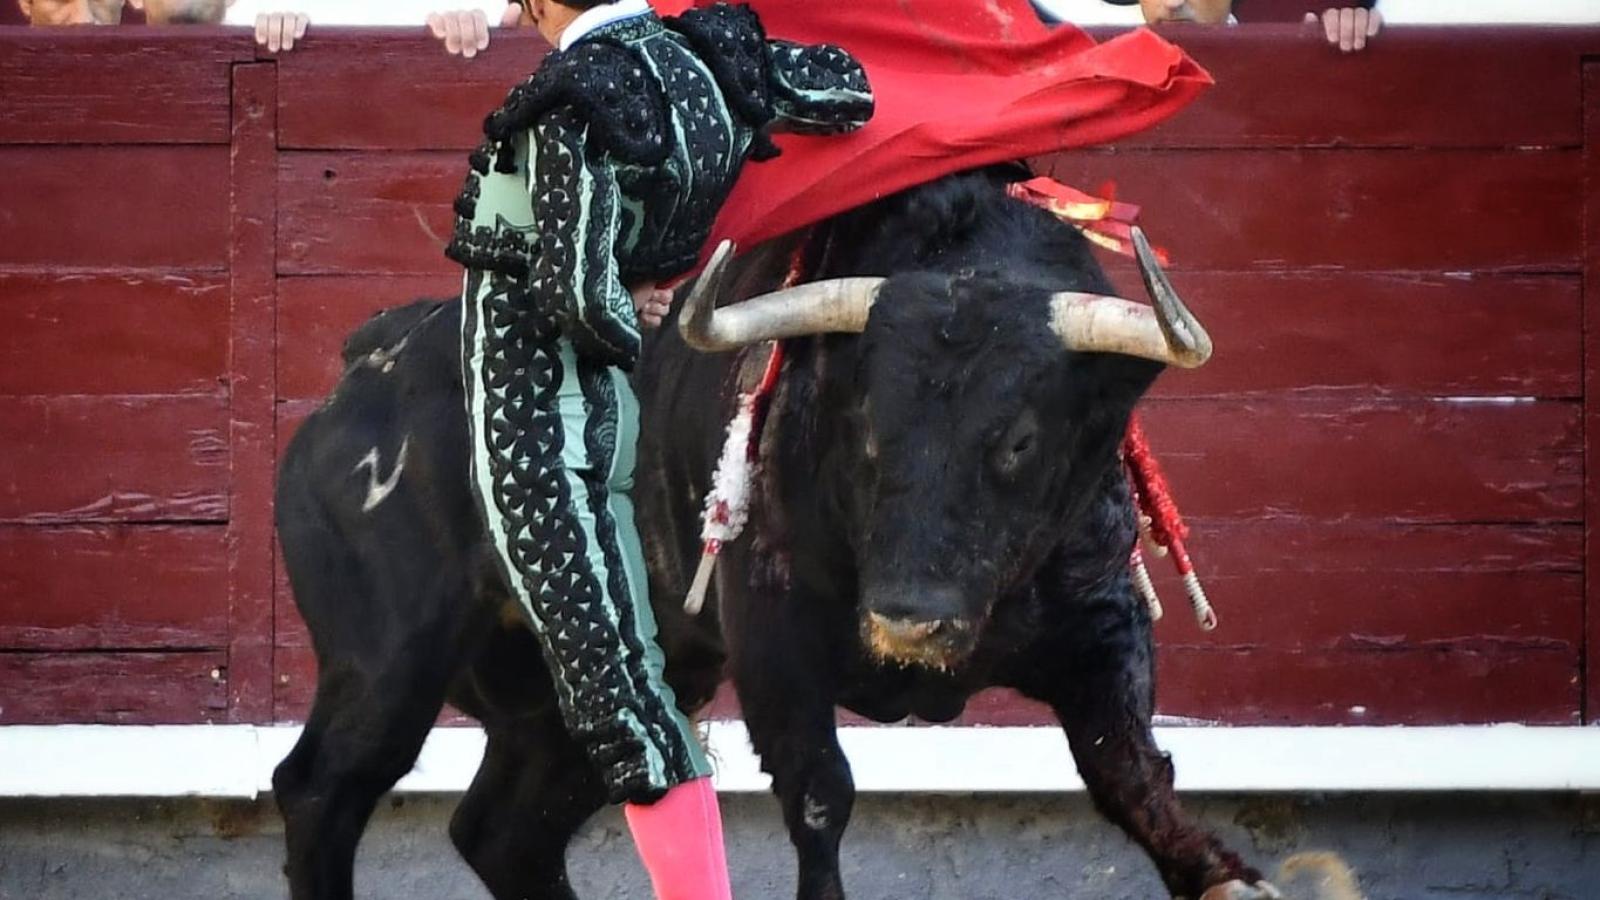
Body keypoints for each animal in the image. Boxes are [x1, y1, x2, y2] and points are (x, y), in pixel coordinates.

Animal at [272, 164, 1273, 890]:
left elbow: (1130, 768)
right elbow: (821, 794)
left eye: (1021, 439)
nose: (910, 620)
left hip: (568, 698)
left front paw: (1222, 875)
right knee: (322, 791)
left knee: (509, 829)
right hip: (387, 661)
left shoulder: (1104, 620)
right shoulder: (775, 641)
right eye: (865, 421)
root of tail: (366, 363)